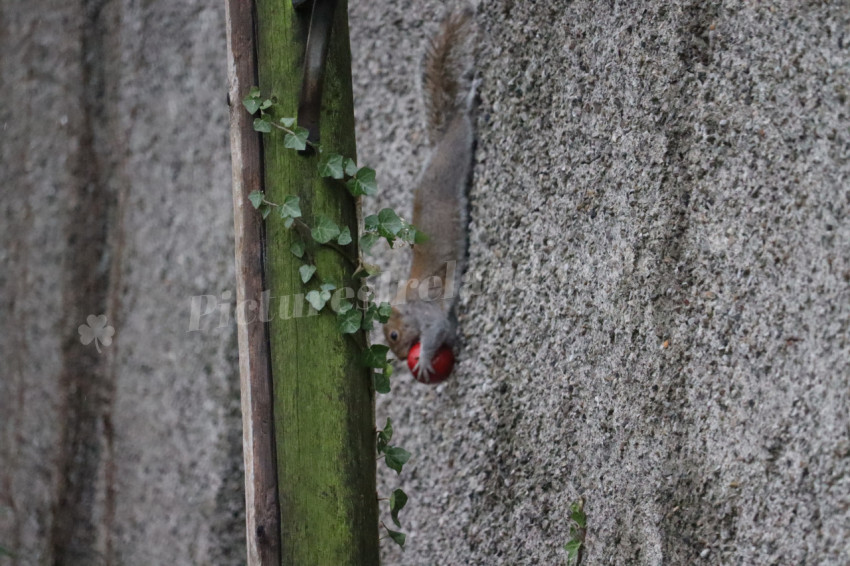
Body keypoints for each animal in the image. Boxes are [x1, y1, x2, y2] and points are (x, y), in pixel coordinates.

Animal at [382, 10, 476, 382]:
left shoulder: (427, 314)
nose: (400, 356)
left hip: (456, 154)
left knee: (464, 122)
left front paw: (423, 359)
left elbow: (437, 330)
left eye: (393, 335)